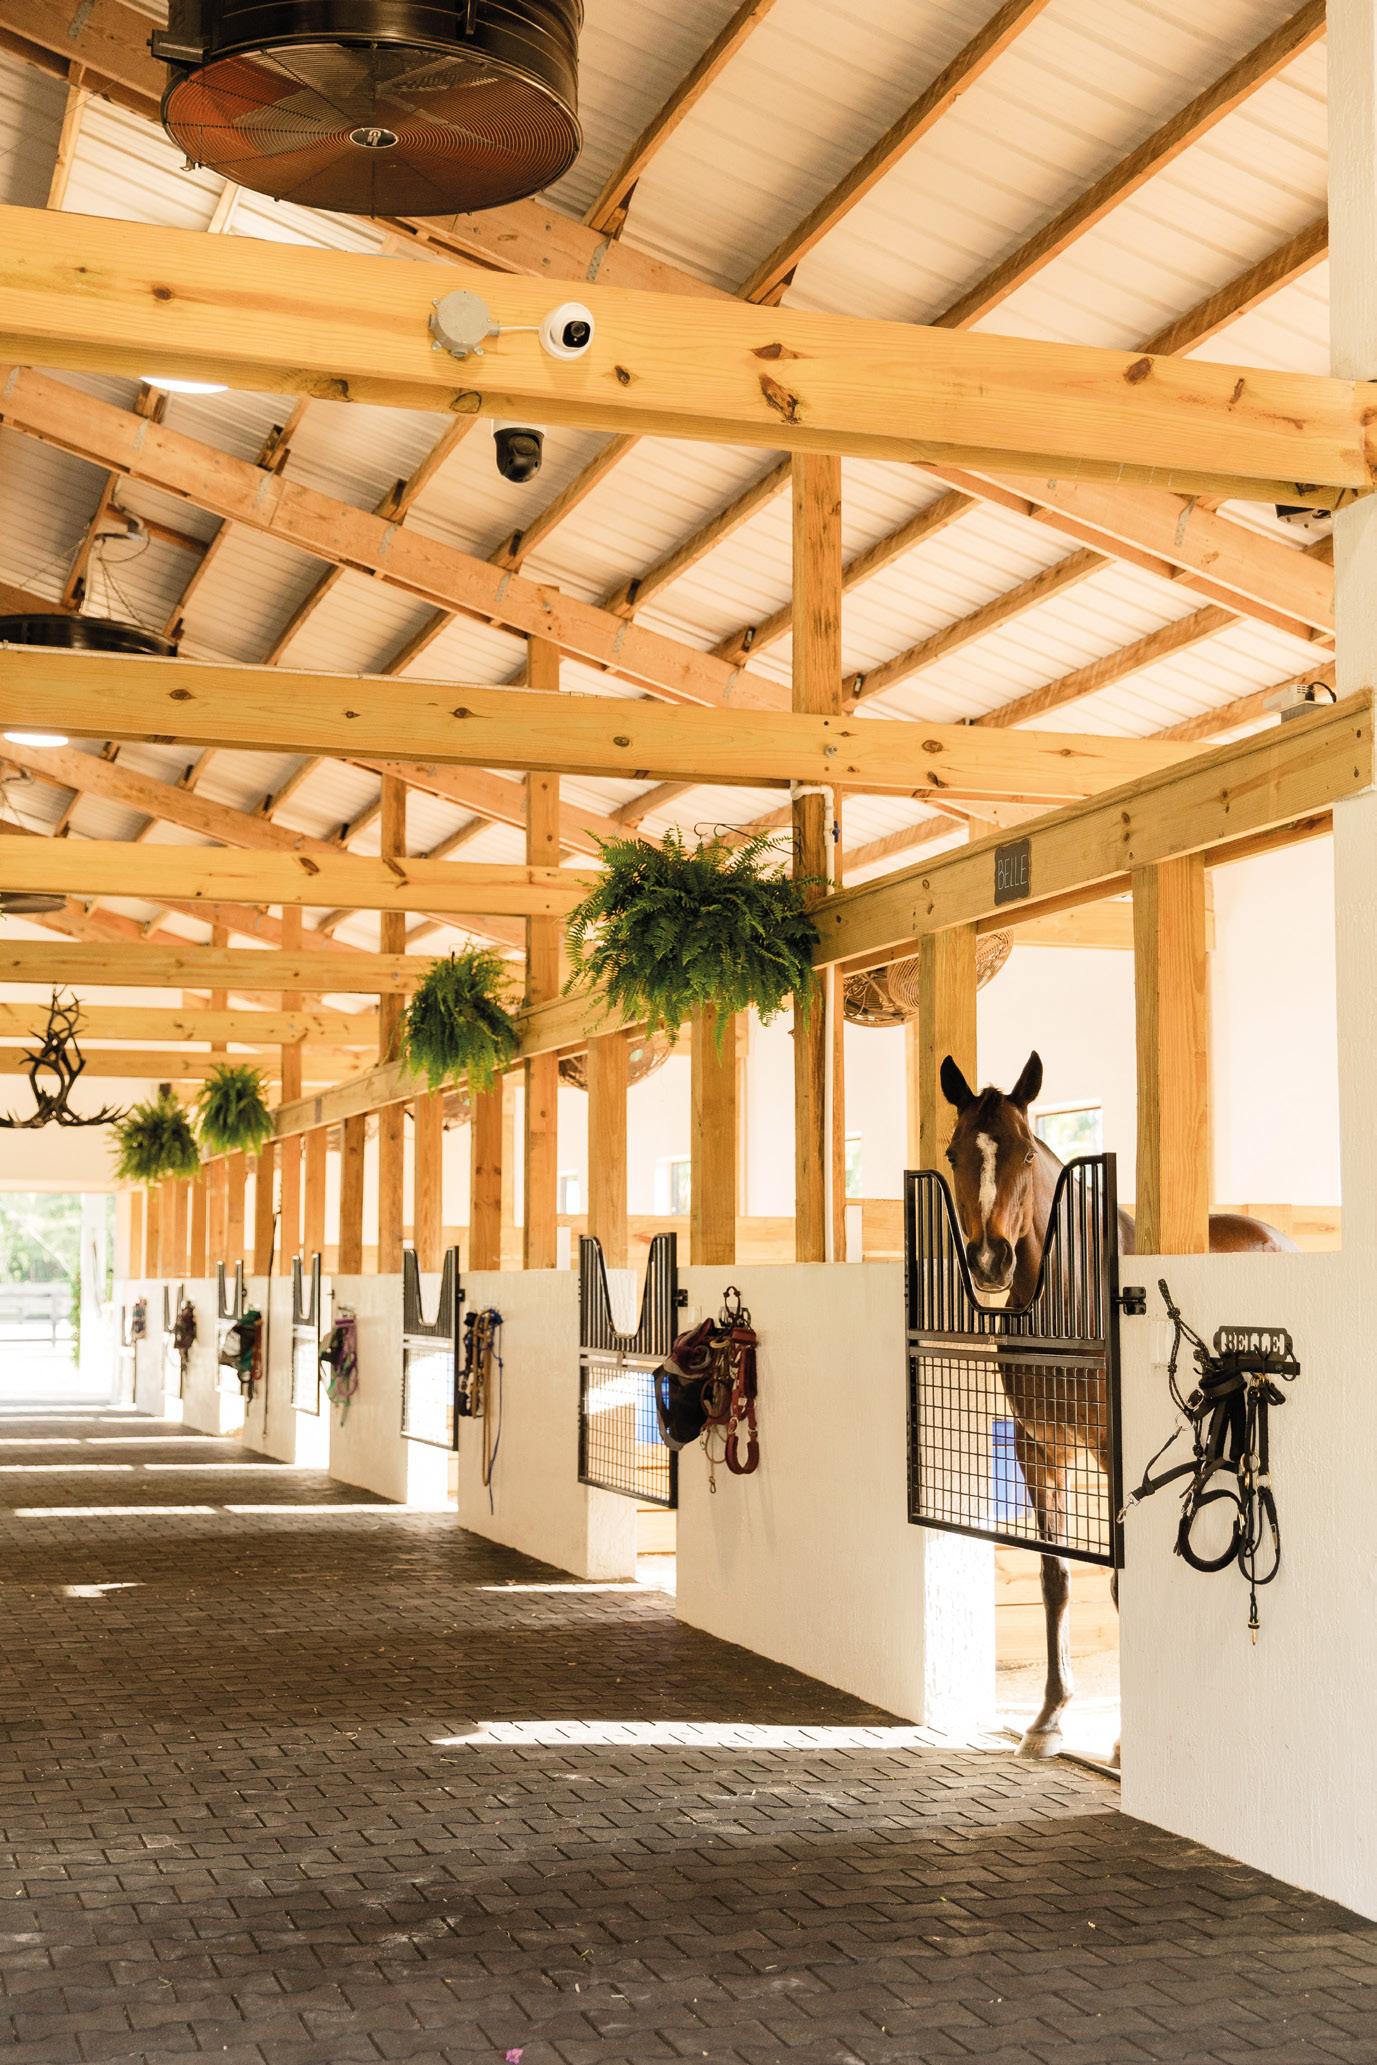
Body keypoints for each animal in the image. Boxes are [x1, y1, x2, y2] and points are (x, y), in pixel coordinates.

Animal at [937, 1049, 1293, 1758]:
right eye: (954, 1152)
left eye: (1024, 1153)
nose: (990, 1261)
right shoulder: (1040, 1450)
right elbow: (1055, 1578)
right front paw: (1048, 1719)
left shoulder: (1111, 1455)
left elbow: (1119, 1580)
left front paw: (1128, 1745)